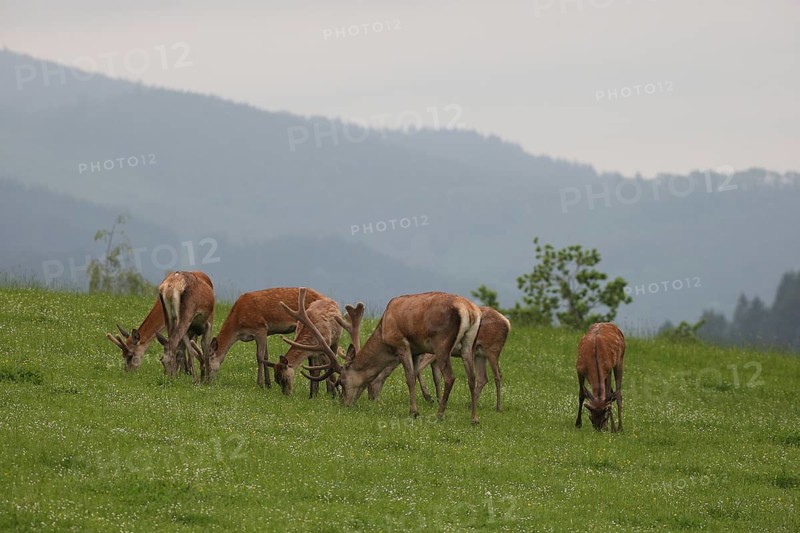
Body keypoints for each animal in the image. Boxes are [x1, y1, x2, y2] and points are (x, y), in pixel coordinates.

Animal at [188, 287, 325, 387]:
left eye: (209, 362)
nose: (206, 381)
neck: (238, 326)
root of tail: (324, 297)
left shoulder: (260, 328)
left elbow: (259, 357)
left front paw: (259, 384)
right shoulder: (266, 332)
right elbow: (265, 356)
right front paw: (268, 383)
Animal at [287, 289, 484, 423]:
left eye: (341, 382)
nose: (344, 404)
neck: (383, 334)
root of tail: (469, 310)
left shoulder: (400, 343)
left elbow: (409, 378)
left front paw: (414, 411)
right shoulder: (417, 350)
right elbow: (415, 373)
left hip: (441, 343)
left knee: (450, 377)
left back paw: (440, 414)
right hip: (468, 344)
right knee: (472, 377)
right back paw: (474, 418)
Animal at [368, 306, 510, 412]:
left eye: (372, 381)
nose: (371, 399)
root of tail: (508, 323)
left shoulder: (432, 353)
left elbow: (419, 370)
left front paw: (429, 397)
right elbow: (436, 378)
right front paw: (438, 399)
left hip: (493, 349)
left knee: (498, 375)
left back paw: (498, 407)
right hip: (480, 354)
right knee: (483, 378)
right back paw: (471, 405)